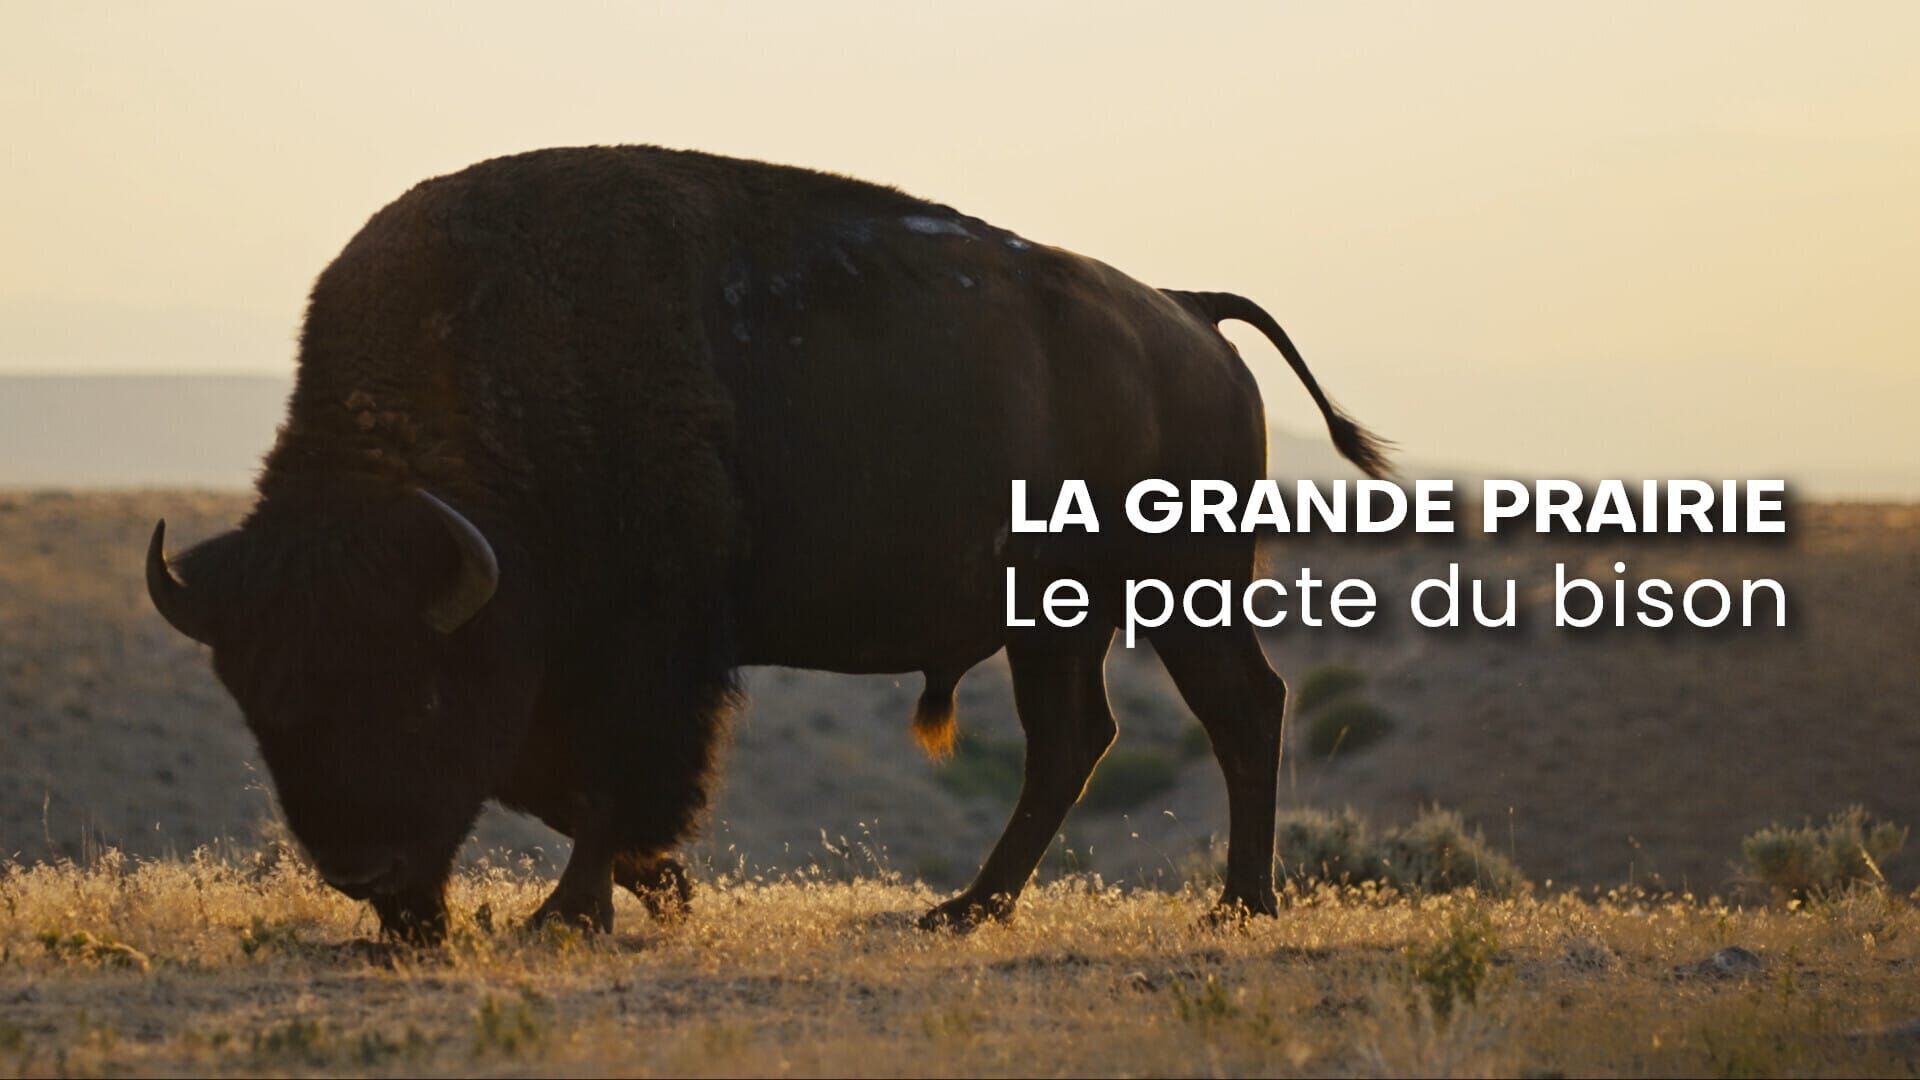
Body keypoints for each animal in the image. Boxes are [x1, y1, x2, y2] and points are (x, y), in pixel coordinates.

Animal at [147, 146, 1388, 940]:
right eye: (262, 706)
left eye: (417, 690)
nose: (368, 874)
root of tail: (1186, 313)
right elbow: (563, 789)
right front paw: (660, 889)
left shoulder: (650, 656)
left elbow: (611, 781)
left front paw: (572, 915)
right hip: (1056, 617)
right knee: (1076, 739)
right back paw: (966, 910)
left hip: (1181, 588)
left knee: (1236, 710)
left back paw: (1236, 904)